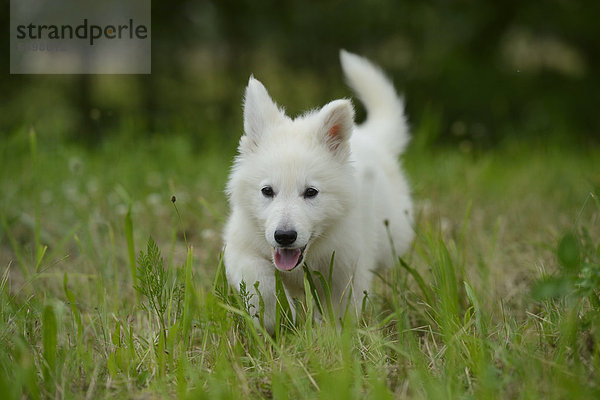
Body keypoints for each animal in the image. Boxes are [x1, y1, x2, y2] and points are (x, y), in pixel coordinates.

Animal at [223, 50, 414, 332]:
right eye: (267, 191)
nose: (284, 236)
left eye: (311, 192)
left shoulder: (348, 266)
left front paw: (335, 337)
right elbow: (262, 281)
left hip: (392, 237)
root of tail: (369, 137)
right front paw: (276, 319)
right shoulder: (241, 247)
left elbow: (341, 310)